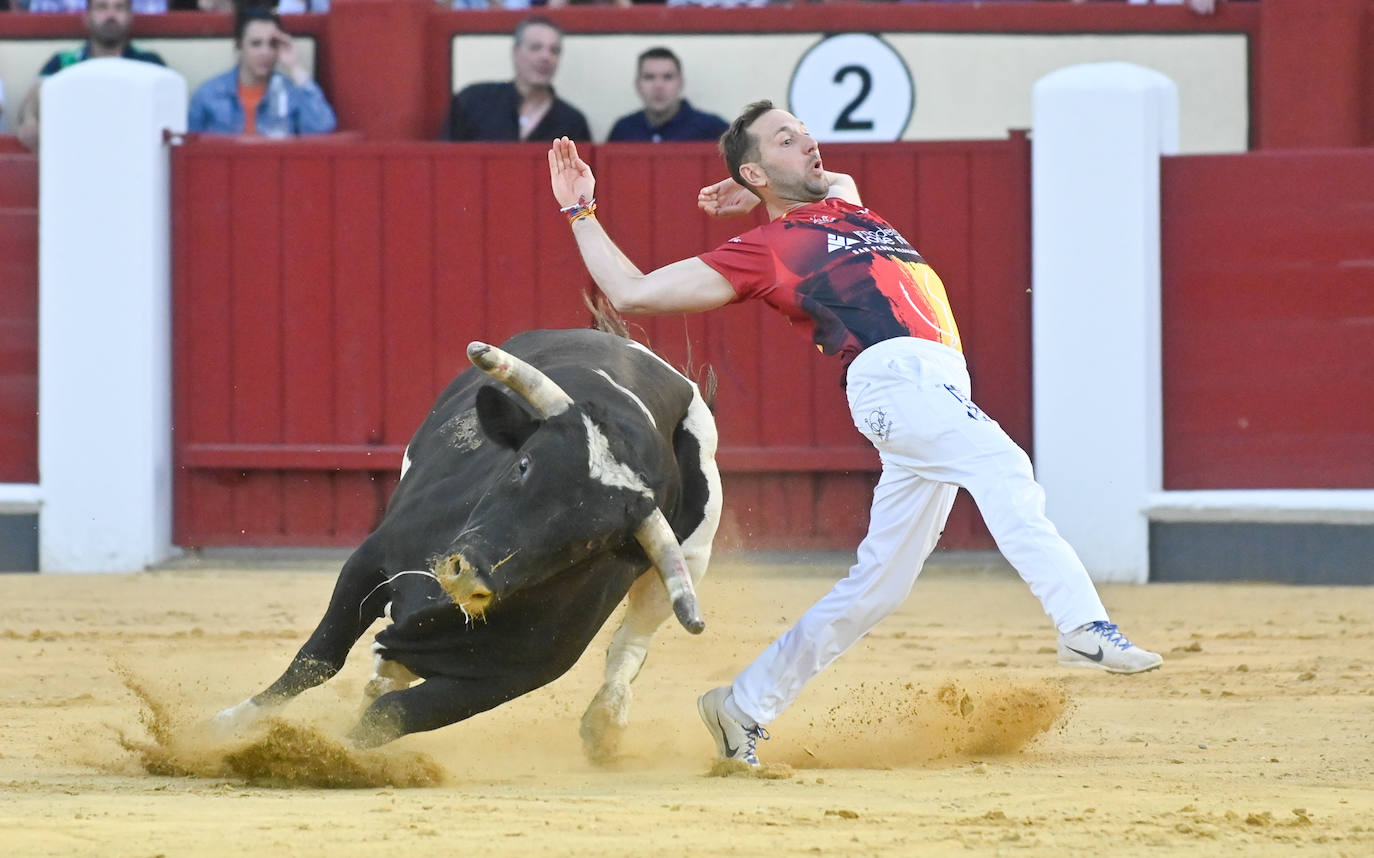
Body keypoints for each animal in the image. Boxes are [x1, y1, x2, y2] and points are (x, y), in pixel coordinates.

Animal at [212, 327, 725, 759]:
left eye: (591, 540)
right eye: (524, 464)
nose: (469, 573)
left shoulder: (515, 674)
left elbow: (393, 715)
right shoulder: (372, 561)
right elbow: (318, 658)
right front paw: (228, 725)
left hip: (688, 560)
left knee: (631, 641)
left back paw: (605, 724)